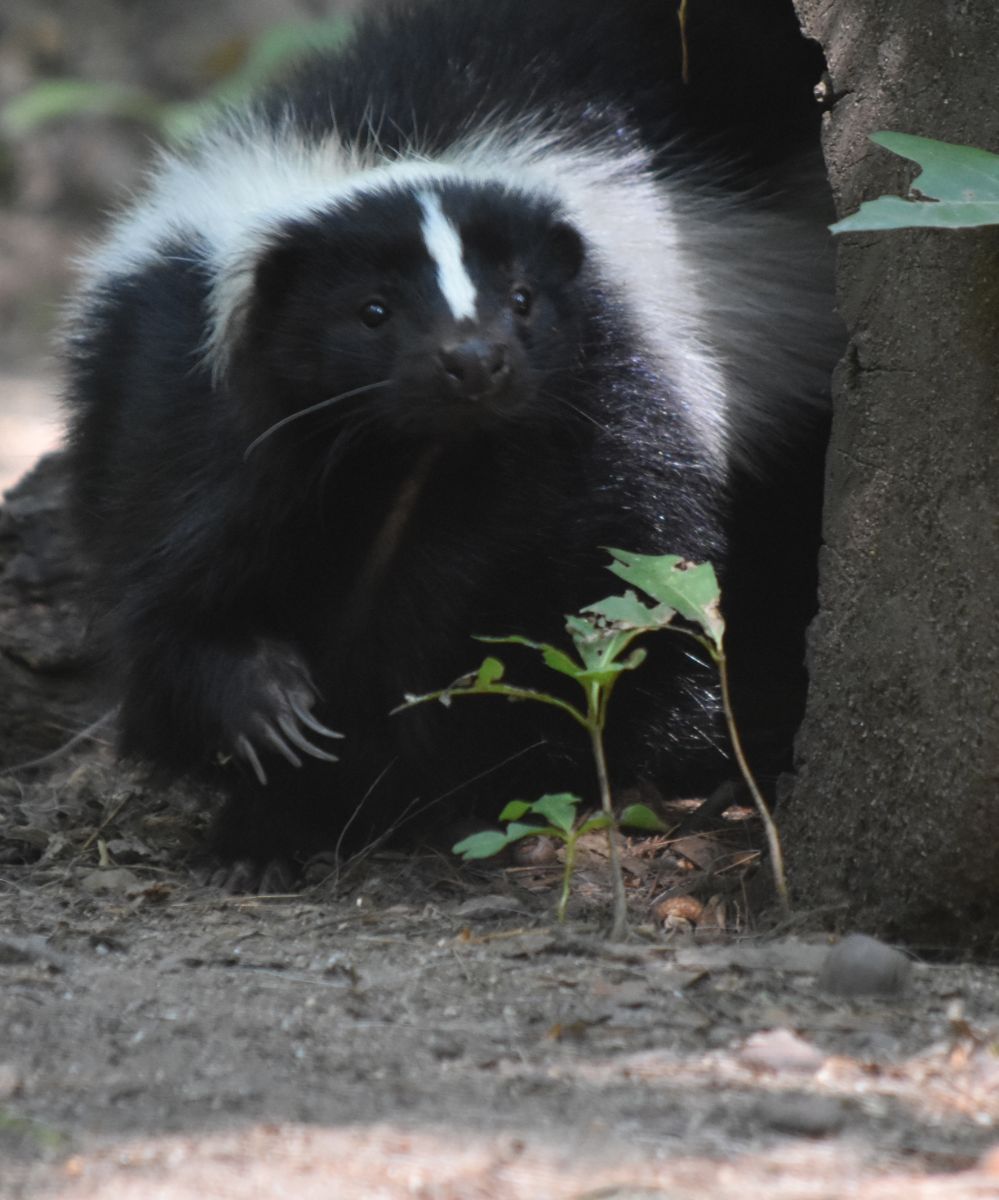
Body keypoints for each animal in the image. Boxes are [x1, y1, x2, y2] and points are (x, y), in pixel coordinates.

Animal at [64, 0, 845, 878]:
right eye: (372, 311)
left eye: (521, 299)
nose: (473, 360)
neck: (404, 460)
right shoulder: (173, 401)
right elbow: (169, 589)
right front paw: (272, 741)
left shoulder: (611, 416)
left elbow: (603, 601)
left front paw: (430, 774)